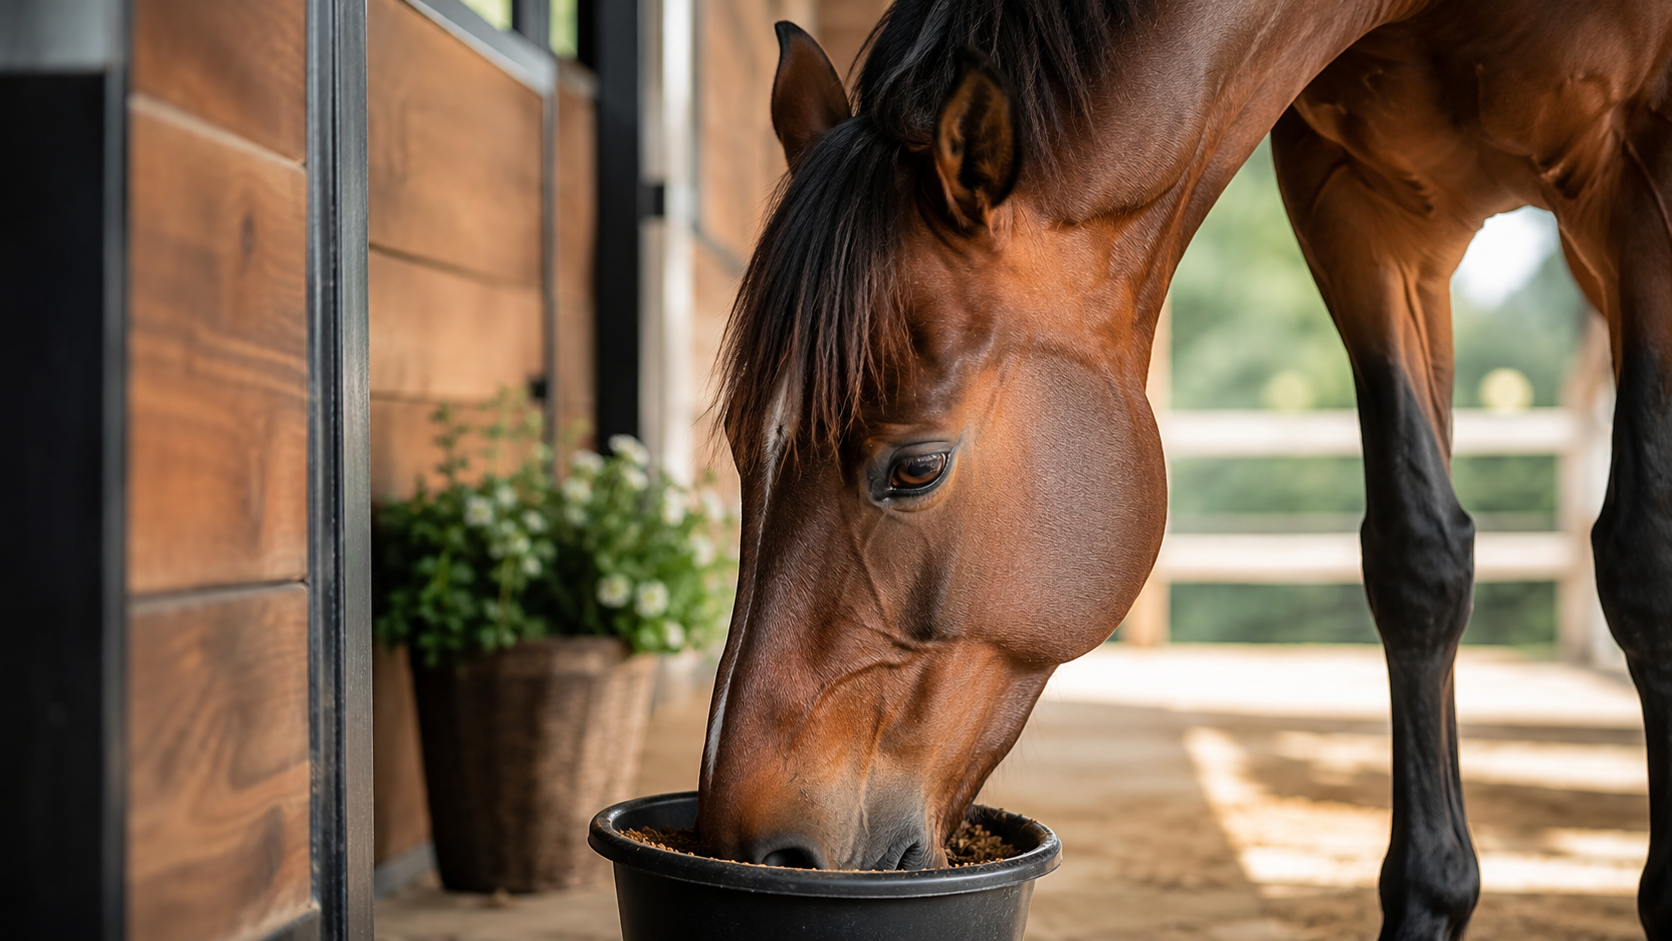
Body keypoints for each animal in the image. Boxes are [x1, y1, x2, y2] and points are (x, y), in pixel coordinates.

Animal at [696, 1, 1672, 936]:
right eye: (743, 444)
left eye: (916, 468)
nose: (752, 846)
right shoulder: (1362, 213)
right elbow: (1418, 560)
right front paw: (1428, 898)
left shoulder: (1646, 179)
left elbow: (1641, 561)